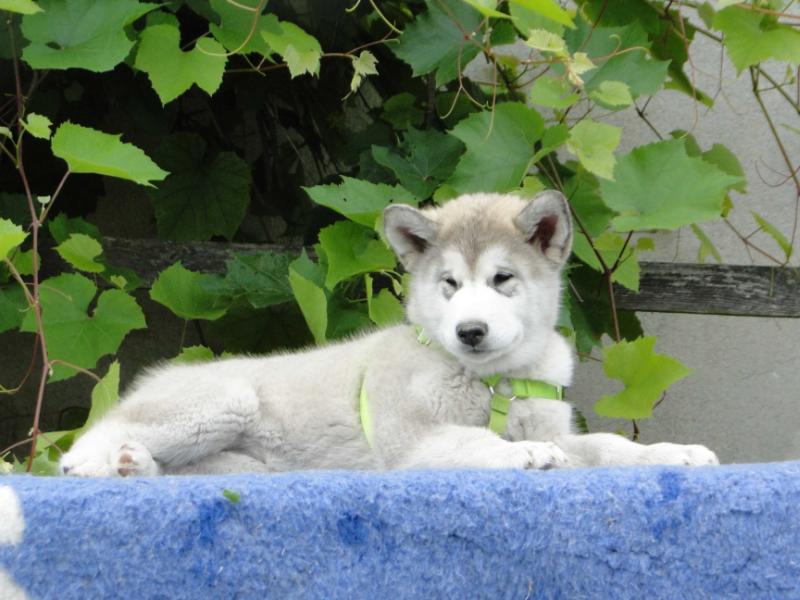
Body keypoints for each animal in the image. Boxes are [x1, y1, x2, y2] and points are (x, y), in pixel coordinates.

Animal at [60, 191, 718, 477]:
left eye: (502, 279)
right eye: (449, 283)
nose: (470, 331)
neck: (493, 383)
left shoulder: (561, 427)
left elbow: (607, 445)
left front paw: (673, 452)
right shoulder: (410, 441)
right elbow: (475, 442)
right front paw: (522, 452)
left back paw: (137, 468)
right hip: (225, 400)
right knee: (81, 447)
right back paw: (102, 463)